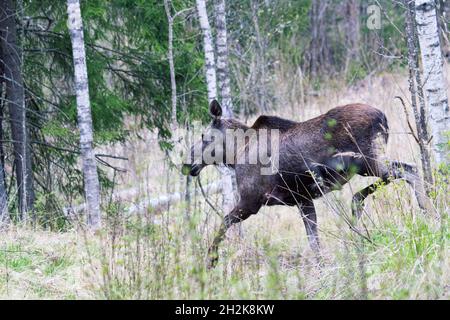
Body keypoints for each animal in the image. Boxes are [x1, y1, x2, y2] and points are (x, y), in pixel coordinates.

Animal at [183, 100, 428, 268]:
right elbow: (314, 240)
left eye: (204, 136)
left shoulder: (251, 202)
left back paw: (425, 209)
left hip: (368, 161)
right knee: (406, 170)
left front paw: (211, 260)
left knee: (408, 170)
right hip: (368, 162)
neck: (235, 154)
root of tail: (383, 116)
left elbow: (224, 221)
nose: (187, 163)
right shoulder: (303, 199)